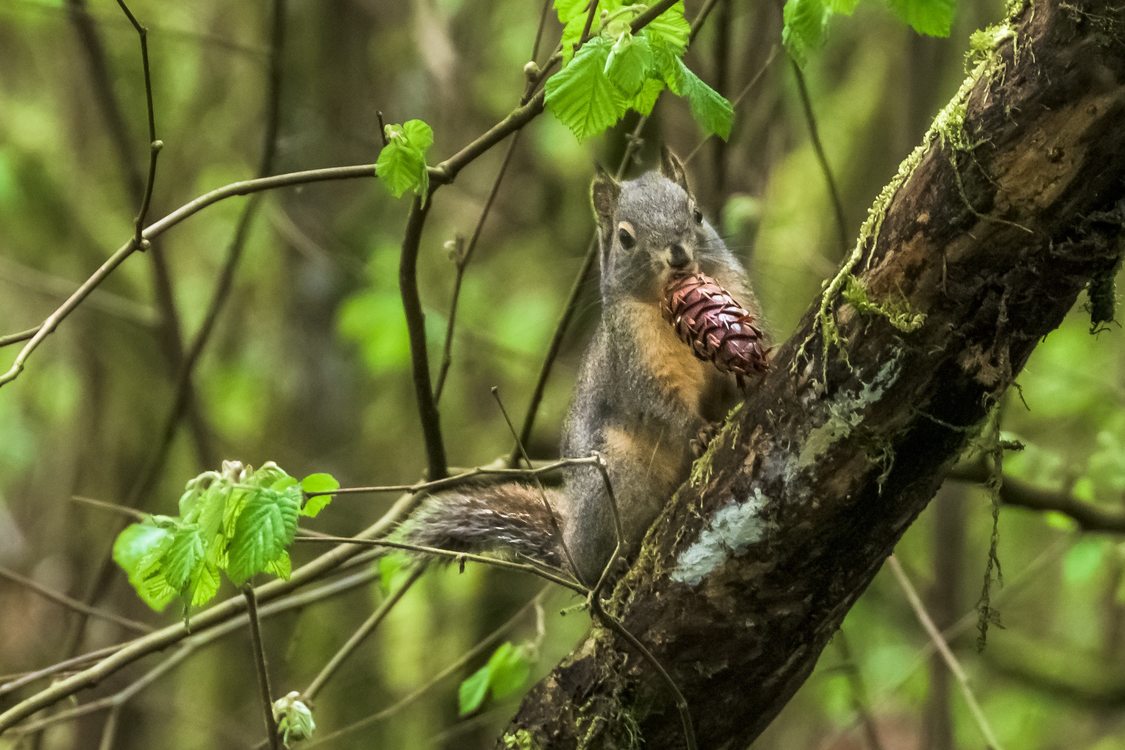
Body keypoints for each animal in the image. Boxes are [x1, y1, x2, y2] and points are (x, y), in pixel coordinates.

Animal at [400, 148, 760, 584]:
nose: (678, 255)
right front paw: (698, 430)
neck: (667, 304)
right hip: (616, 477)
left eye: (697, 214)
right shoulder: (635, 359)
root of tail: (570, 547)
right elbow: (660, 403)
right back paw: (614, 563)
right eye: (625, 238)